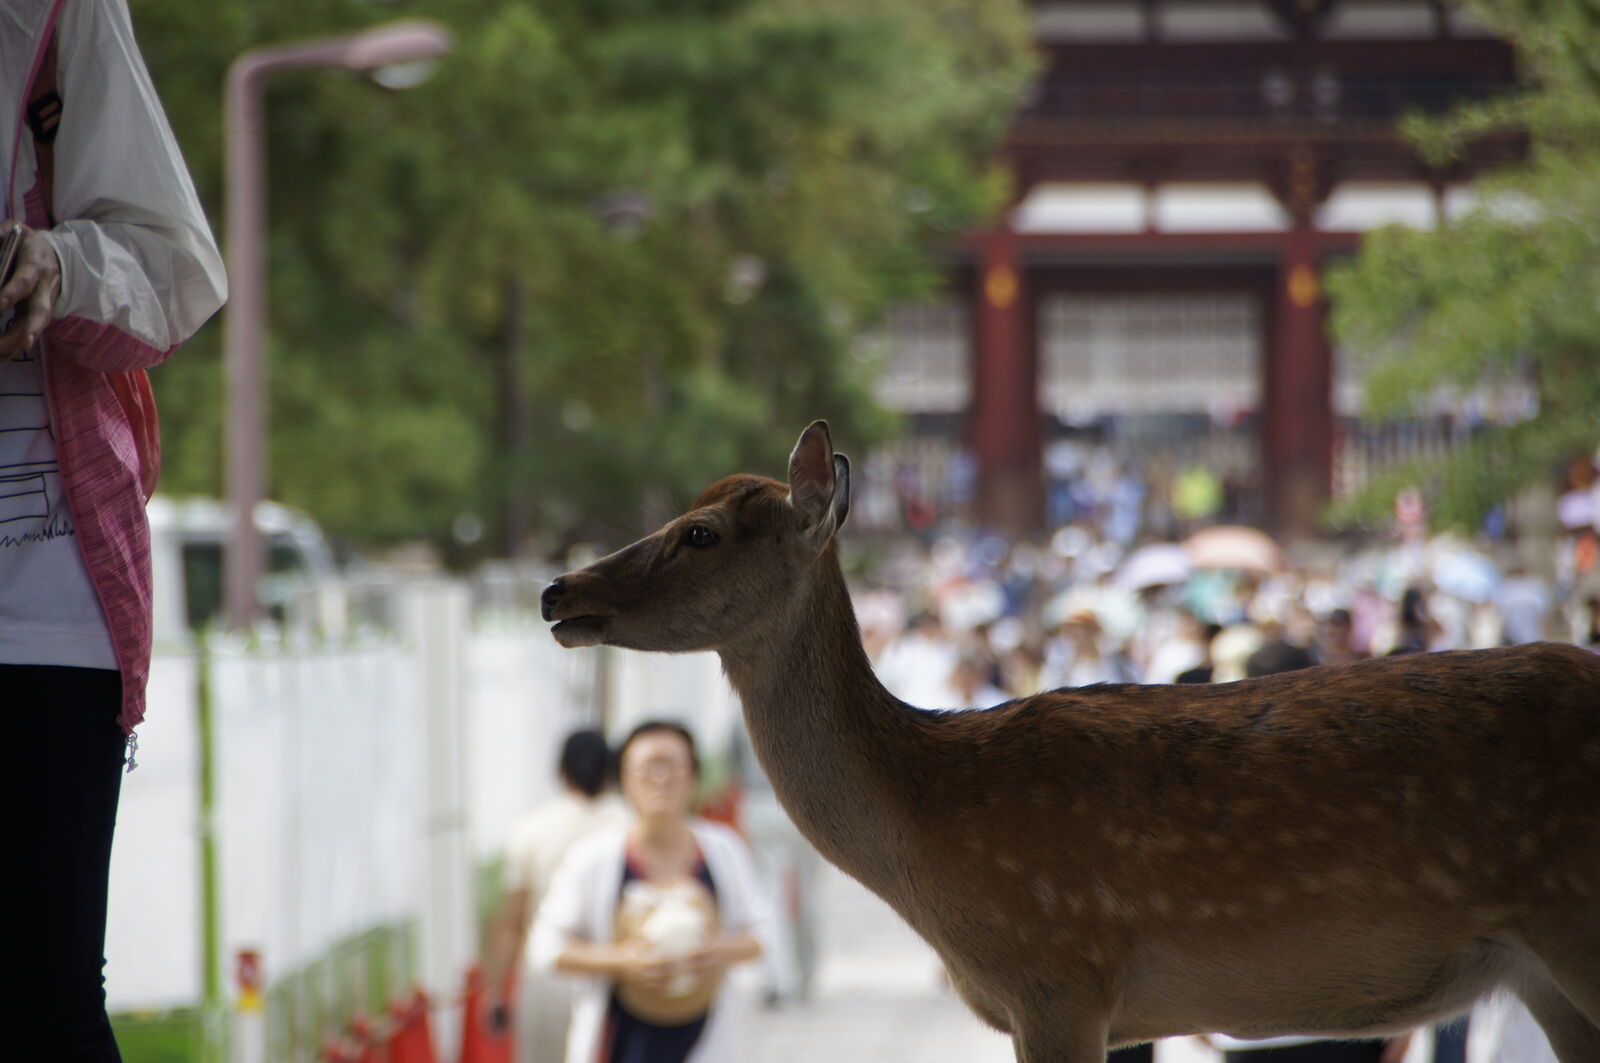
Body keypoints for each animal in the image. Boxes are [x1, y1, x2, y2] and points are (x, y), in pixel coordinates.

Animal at [540, 420, 1600, 1062]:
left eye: (702, 532)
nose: (557, 590)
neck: (925, 830)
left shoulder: (1058, 971)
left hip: (1576, 919)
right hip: (1545, 975)